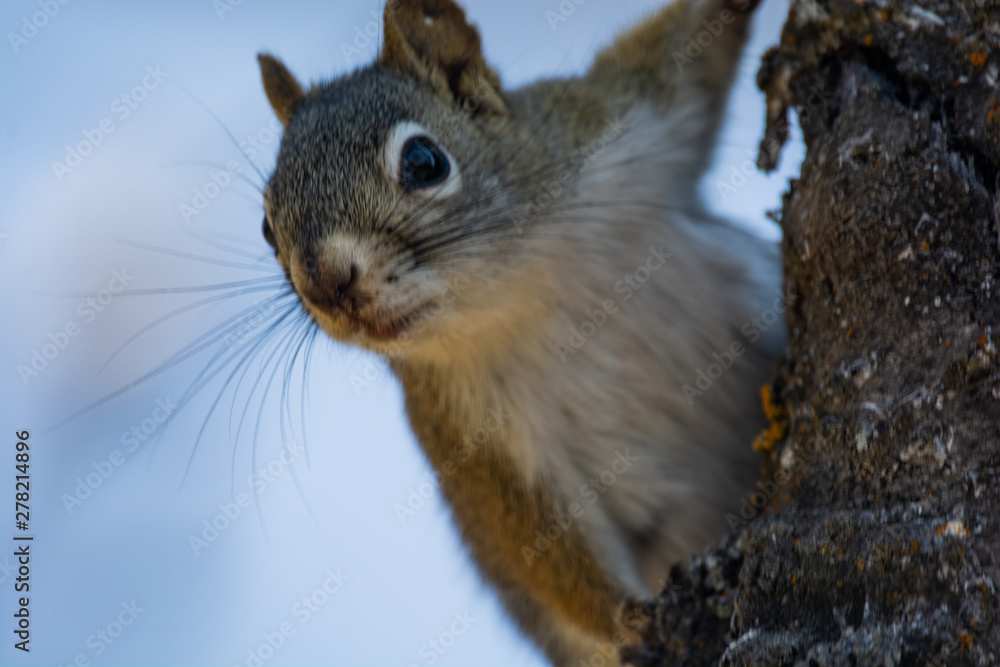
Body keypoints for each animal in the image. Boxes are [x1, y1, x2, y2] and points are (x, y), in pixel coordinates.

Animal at [256, 0, 782, 663]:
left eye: (423, 162)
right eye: (266, 227)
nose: (326, 283)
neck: (527, 294)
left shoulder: (617, 121)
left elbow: (691, 53)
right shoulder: (472, 434)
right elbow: (538, 542)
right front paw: (629, 620)